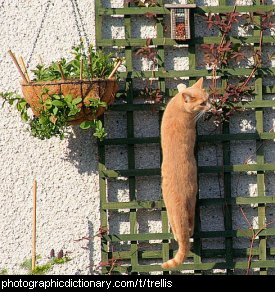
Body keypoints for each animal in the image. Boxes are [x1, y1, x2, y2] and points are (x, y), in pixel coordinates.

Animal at [161, 78, 210, 270]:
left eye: (207, 98)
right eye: (202, 103)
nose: (210, 106)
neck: (178, 106)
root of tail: (179, 199)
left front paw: (182, 87)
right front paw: (182, 87)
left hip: (176, 210)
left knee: (184, 228)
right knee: (187, 227)